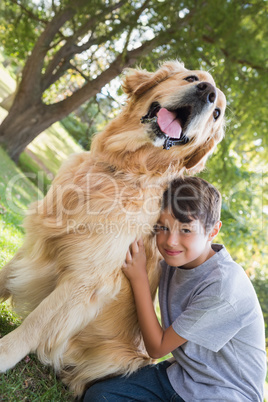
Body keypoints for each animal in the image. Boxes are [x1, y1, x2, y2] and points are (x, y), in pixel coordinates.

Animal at [0, 61, 226, 398]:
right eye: (192, 78)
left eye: (217, 113)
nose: (207, 93)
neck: (121, 171)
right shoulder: (41, 236)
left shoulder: (85, 280)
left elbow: (36, 324)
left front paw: (3, 355)